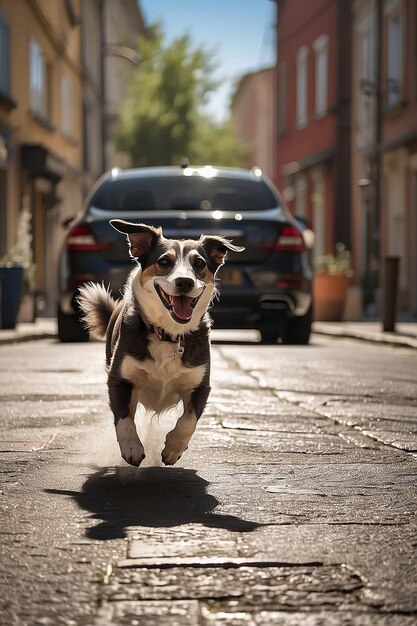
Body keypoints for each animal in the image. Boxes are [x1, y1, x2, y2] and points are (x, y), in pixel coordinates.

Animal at [77, 222, 244, 466]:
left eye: (199, 263)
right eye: (164, 261)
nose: (185, 282)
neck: (169, 334)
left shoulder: (200, 385)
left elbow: (189, 420)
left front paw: (173, 448)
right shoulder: (119, 380)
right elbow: (124, 420)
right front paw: (132, 447)